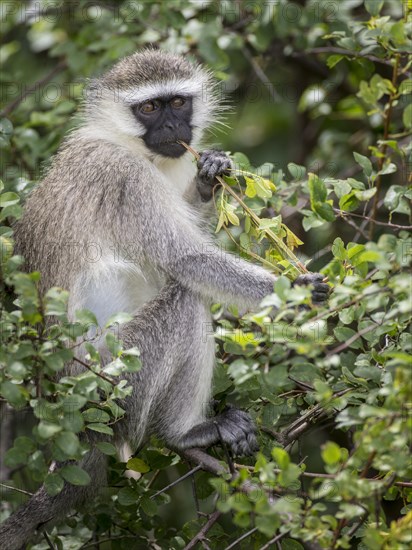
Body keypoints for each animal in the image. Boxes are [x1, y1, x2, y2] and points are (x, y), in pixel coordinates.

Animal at [0, 50, 328, 548]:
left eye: (177, 102)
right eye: (149, 108)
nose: (174, 128)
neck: (127, 144)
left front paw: (209, 177)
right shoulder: (125, 178)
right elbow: (185, 259)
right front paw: (300, 293)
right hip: (121, 384)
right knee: (186, 300)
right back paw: (185, 433)